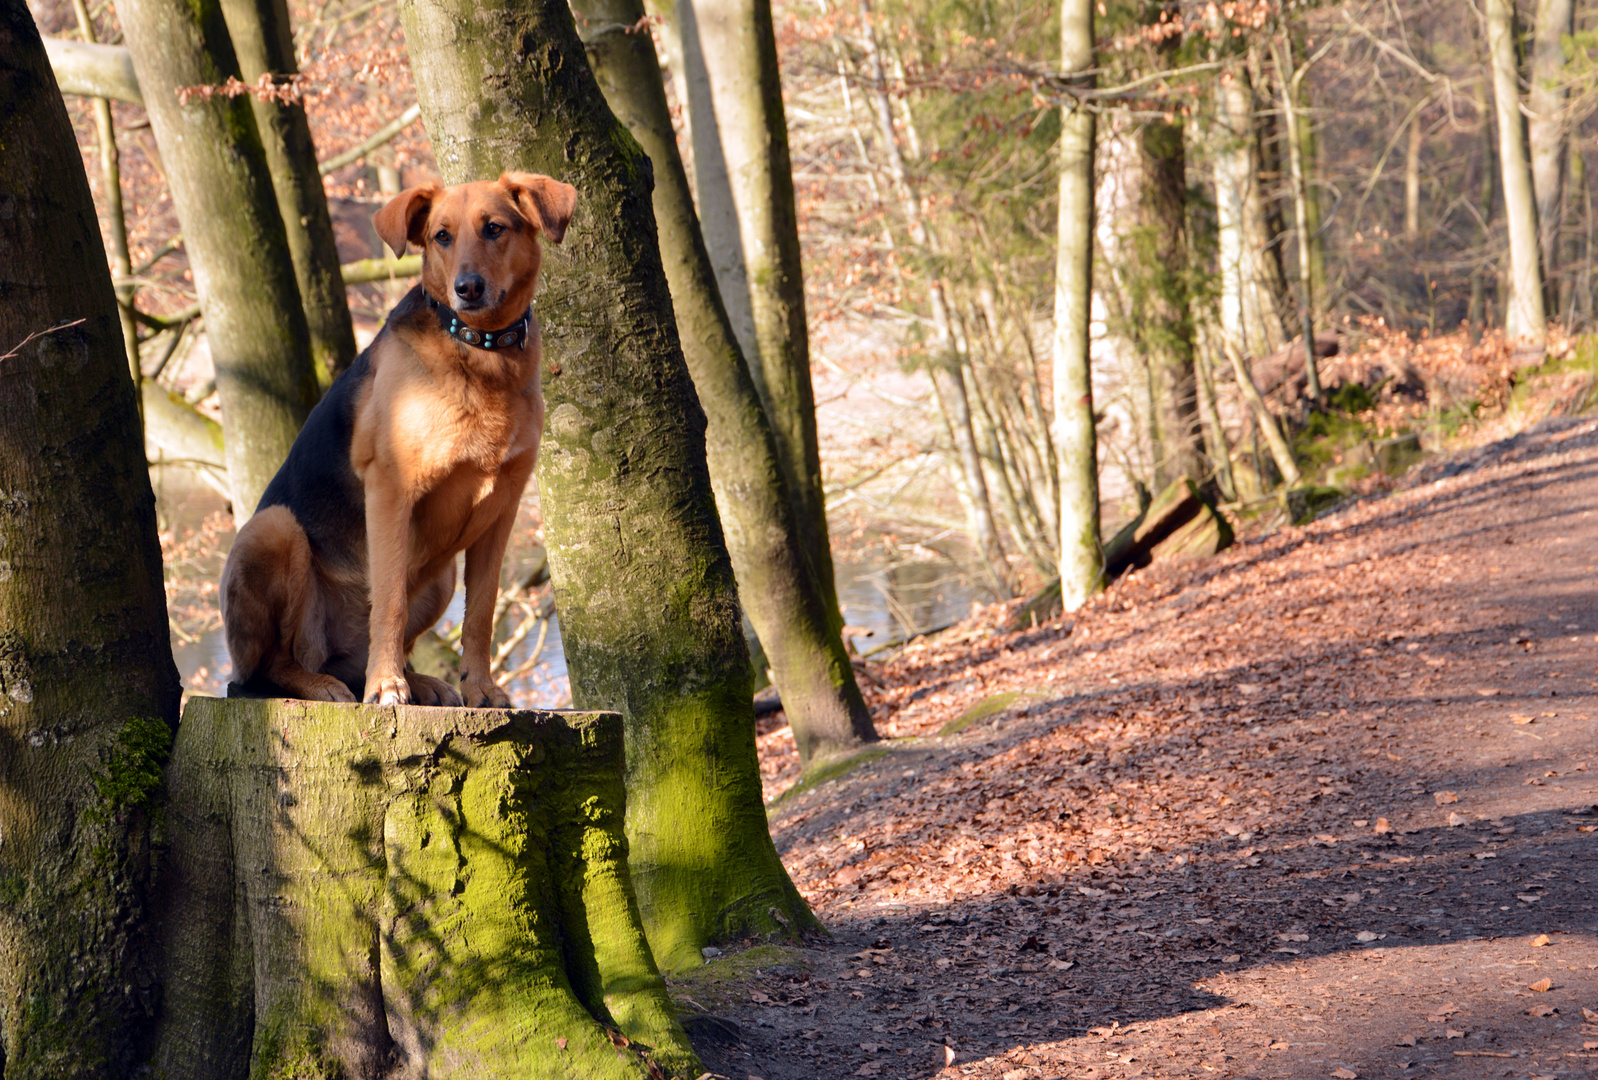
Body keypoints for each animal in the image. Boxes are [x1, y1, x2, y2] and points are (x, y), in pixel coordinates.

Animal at [218, 170, 578, 709]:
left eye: (494, 228)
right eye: (441, 236)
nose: (466, 288)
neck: (481, 352)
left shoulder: (502, 510)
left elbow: (481, 612)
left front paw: (480, 687)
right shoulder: (390, 492)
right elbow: (387, 601)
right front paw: (386, 685)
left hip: (441, 576)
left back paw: (419, 682)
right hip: (274, 530)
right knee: (269, 667)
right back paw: (326, 684)